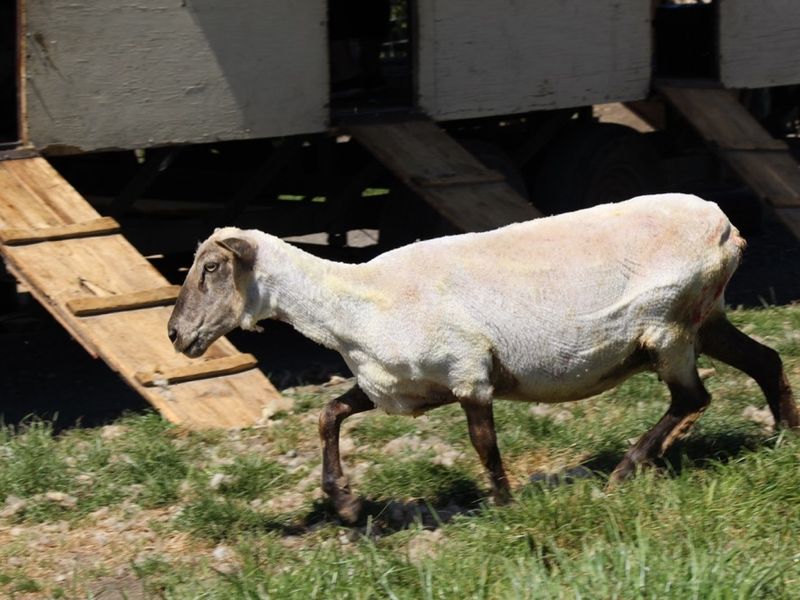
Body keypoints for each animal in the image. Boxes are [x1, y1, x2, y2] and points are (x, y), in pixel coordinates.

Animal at [167, 193, 798, 522]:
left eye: (212, 268)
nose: (175, 334)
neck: (353, 305)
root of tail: (726, 227)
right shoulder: (397, 390)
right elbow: (328, 415)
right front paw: (344, 504)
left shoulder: (468, 372)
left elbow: (482, 443)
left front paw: (504, 506)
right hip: (705, 320)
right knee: (766, 362)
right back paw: (785, 438)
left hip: (666, 325)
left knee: (693, 398)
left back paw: (626, 470)